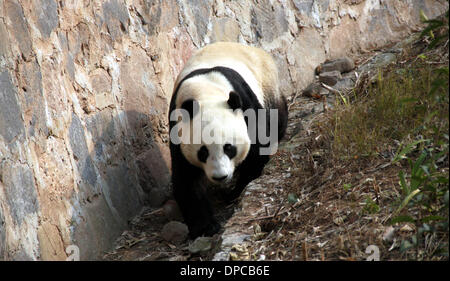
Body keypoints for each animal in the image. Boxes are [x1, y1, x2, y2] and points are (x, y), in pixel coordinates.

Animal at [169, 42, 288, 237]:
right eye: (203, 152)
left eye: (229, 148)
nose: (220, 176)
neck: (205, 93)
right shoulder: (177, 128)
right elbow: (186, 179)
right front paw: (205, 227)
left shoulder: (245, 104)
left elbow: (256, 151)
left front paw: (235, 192)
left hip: (267, 83)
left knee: (278, 114)